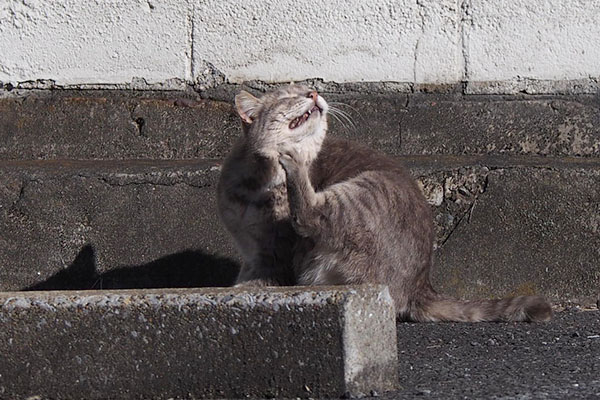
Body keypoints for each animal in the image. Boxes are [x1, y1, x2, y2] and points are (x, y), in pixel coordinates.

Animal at [217, 84, 552, 322]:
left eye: (307, 88)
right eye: (287, 96)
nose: (313, 92)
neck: (256, 186)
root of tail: (421, 285)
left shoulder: (280, 253)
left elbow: (267, 277)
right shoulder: (254, 252)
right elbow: (248, 275)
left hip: (362, 191)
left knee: (311, 215)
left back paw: (294, 163)